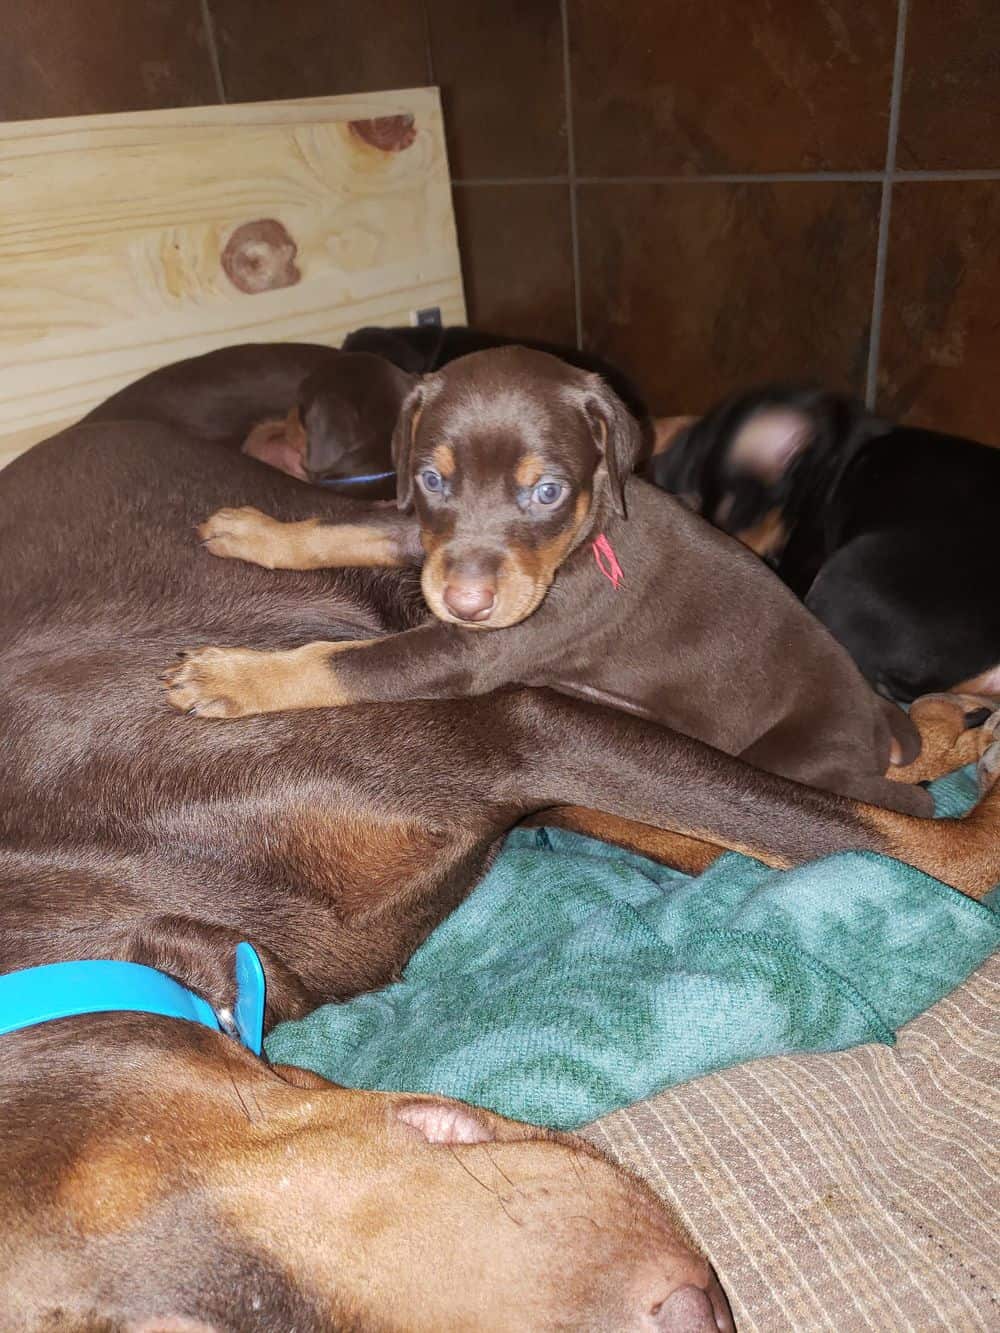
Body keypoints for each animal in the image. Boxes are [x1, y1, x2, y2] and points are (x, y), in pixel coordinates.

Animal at [174, 343, 965, 815]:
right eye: (431, 479)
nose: (464, 602)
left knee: (903, 804)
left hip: (798, 756)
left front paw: (229, 676)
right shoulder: (432, 545)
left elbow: (339, 663)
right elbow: (353, 527)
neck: (585, 540)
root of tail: (874, 717)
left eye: (547, 492)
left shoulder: (470, 649)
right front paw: (254, 531)